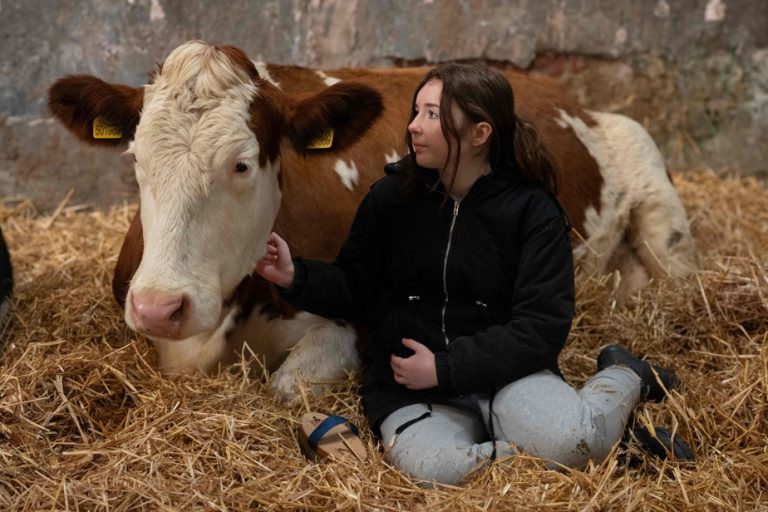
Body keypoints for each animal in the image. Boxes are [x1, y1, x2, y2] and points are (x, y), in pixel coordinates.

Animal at [48, 41, 696, 400]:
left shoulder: (354, 322)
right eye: (135, 159)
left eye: (242, 163)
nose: (159, 306)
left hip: (653, 184)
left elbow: (286, 386)